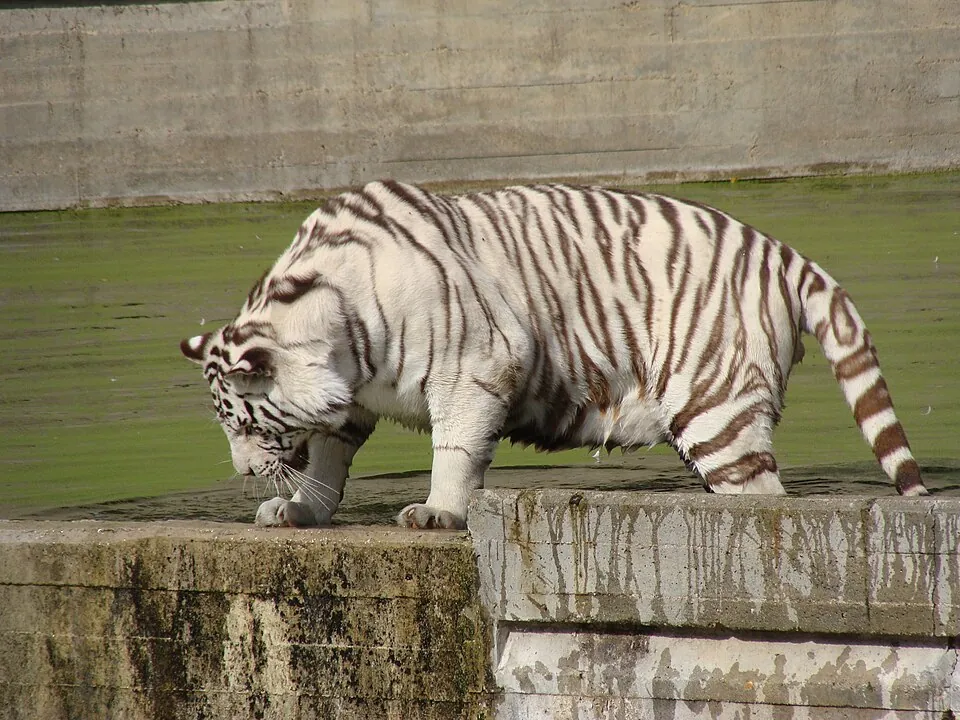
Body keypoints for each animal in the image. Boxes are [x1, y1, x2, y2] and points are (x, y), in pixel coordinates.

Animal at [180, 180, 928, 529]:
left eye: (245, 424)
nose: (243, 473)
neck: (340, 328)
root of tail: (779, 251)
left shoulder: (476, 365)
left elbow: (454, 451)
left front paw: (439, 513)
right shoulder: (351, 401)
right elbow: (327, 461)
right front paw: (299, 512)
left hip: (715, 409)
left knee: (767, 501)